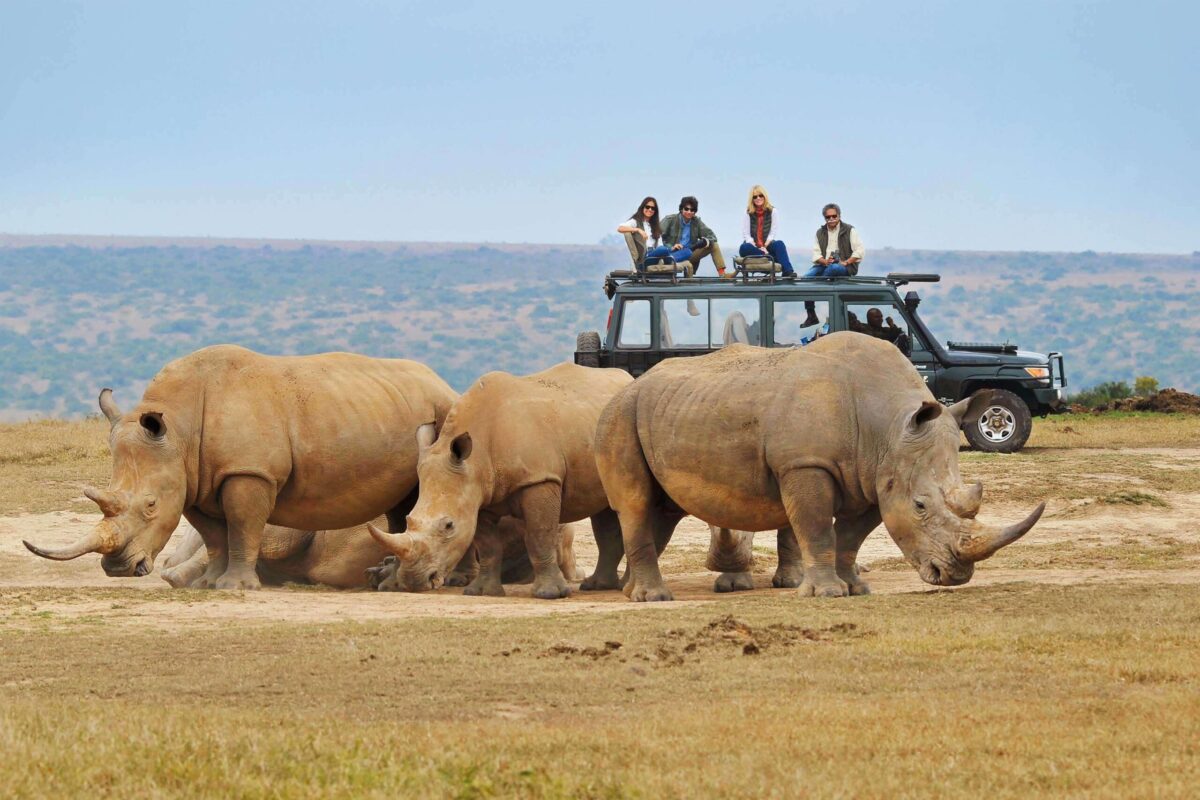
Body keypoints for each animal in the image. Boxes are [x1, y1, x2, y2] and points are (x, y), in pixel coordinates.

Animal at [29, 347, 458, 592]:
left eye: (150, 505)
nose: (118, 569)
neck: (179, 429)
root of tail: (444, 383)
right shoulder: (196, 478)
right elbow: (214, 534)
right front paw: (207, 585)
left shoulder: (249, 472)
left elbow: (242, 526)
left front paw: (235, 587)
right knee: (401, 506)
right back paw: (390, 580)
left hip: (443, 415)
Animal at [369, 362, 638, 599]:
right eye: (408, 520)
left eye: (449, 526)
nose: (413, 581)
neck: (475, 460)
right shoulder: (478, 494)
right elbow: (488, 545)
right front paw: (481, 592)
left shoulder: (538, 480)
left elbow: (540, 536)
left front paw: (550, 594)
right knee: (605, 513)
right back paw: (597, 586)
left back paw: (617, 587)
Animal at [595, 335, 1046, 604]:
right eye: (920, 506)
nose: (955, 575)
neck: (888, 427)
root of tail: (627, 386)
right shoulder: (805, 464)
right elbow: (815, 527)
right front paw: (828, 594)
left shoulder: (873, 476)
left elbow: (850, 537)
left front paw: (856, 589)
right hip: (618, 415)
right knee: (635, 503)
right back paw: (654, 598)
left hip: (667, 411)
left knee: (662, 510)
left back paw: (631, 591)